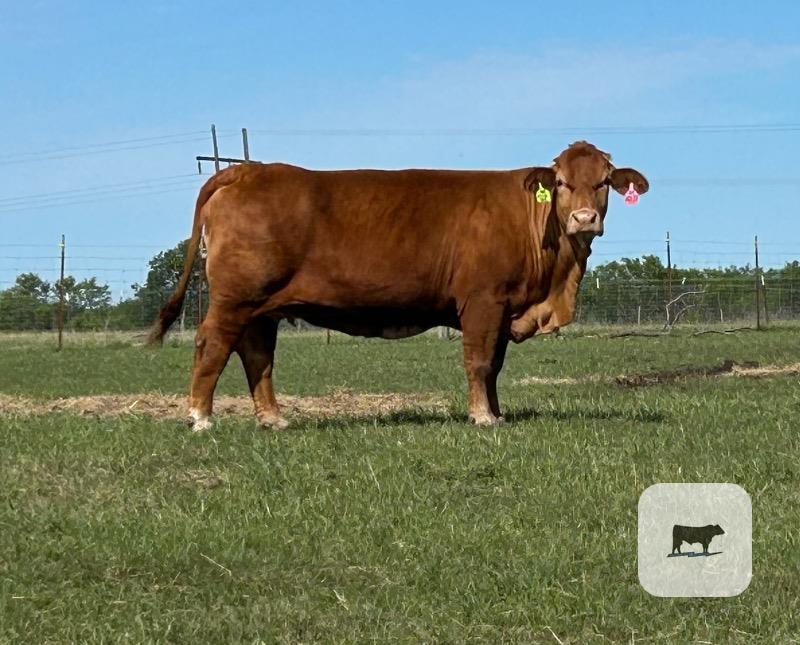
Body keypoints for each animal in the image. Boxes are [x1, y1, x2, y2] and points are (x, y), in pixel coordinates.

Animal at [149, 141, 648, 430]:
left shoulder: (504, 307)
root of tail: (248, 170)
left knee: (258, 357)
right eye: (561, 182)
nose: (584, 219)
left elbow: (495, 366)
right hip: (235, 299)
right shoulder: (482, 301)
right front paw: (482, 417)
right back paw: (200, 417)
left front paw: (497, 412)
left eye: (604, 182)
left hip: (262, 308)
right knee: (212, 345)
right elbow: (479, 362)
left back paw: (274, 420)